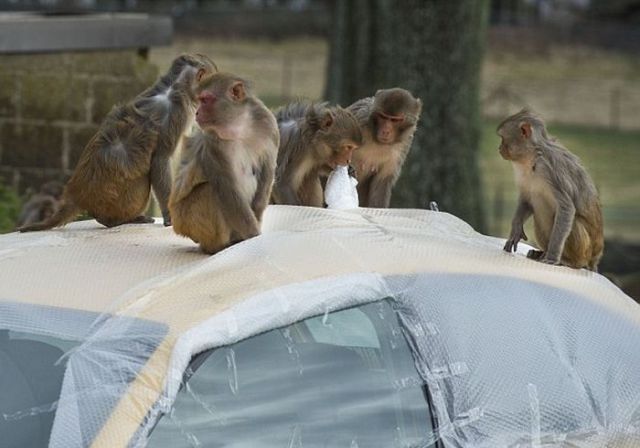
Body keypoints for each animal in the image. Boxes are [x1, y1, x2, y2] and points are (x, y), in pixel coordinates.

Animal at [18, 54, 218, 233]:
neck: (176, 86)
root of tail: (79, 195)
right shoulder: (176, 114)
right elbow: (160, 161)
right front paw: (171, 216)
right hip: (117, 200)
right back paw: (113, 220)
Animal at [169, 74, 278, 256]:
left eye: (205, 100)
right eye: (200, 100)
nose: (197, 112)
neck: (240, 126)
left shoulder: (268, 124)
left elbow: (267, 172)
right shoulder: (213, 142)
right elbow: (226, 187)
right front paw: (254, 236)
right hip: (185, 220)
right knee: (210, 191)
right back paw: (218, 247)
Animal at [500, 109, 604, 270]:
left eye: (502, 138)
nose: (499, 149)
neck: (533, 157)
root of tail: (595, 258)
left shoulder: (550, 170)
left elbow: (567, 208)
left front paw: (553, 257)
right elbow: (526, 200)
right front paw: (516, 230)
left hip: (585, 251)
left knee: (570, 221)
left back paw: (570, 261)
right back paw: (540, 252)